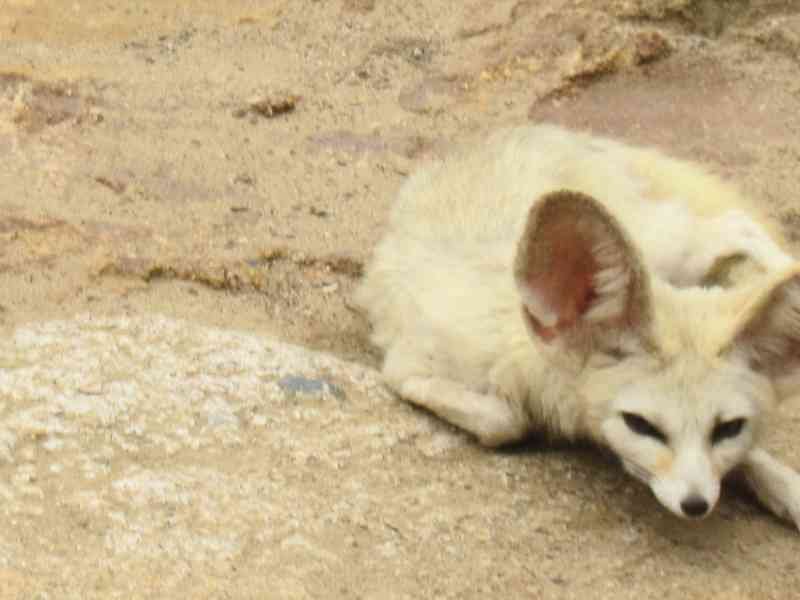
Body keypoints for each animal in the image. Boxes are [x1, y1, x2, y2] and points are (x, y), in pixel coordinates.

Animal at [354, 124, 800, 526]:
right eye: (641, 425)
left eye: (727, 428)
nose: (696, 506)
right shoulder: (405, 368)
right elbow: (504, 421)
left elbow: (752, 454)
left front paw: (783, 486)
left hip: (665, 248)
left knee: (733, 224)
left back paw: (780, 271)